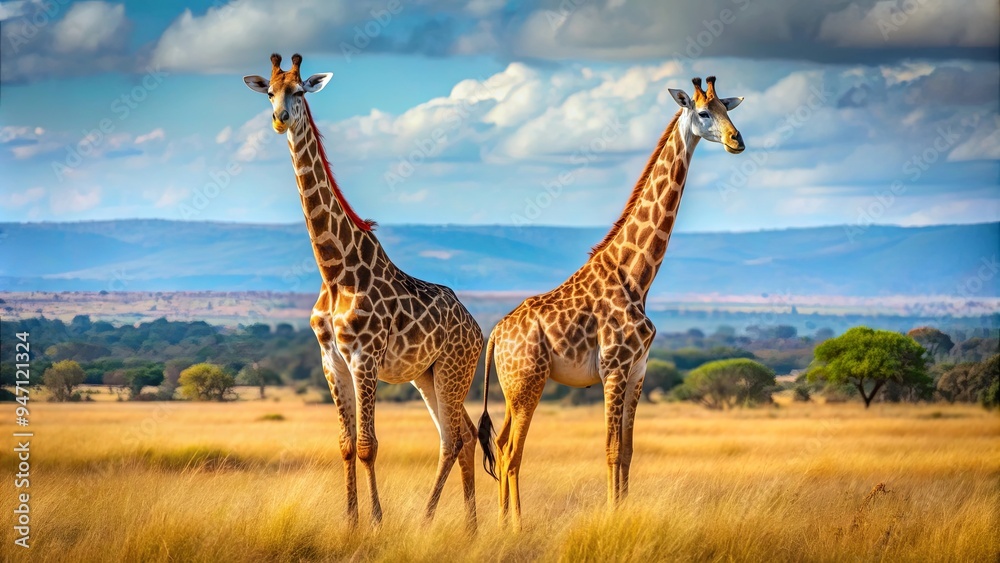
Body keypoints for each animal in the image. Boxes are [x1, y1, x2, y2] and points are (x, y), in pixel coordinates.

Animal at [244, 54, 485, 529]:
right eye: (269, 92)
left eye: (298, 91)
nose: (279, 119)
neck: (335, 271)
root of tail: (478, 329)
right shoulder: (331, 359)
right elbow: (345, 444)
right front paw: (350, 520)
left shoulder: (365, 356)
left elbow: (369, 444)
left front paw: (375, 520)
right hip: (428, 376)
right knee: (463, 435)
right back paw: (469, 526)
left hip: (453, 370)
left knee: (452, 439)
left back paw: (428, 519)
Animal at [477, 76, 745, 527]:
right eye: (703, 112)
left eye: (729, 109)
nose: (736, 140)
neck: (636, 277)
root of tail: (495, 333)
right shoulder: (614, 369)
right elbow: (610, 449)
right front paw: (611, 516)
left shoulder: (638, 371)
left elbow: (628, 450)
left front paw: (623, 510)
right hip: (528, 382)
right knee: (512, 452)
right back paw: (517, 527)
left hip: (514, 386)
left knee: (499, 444)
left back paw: (500, 523)